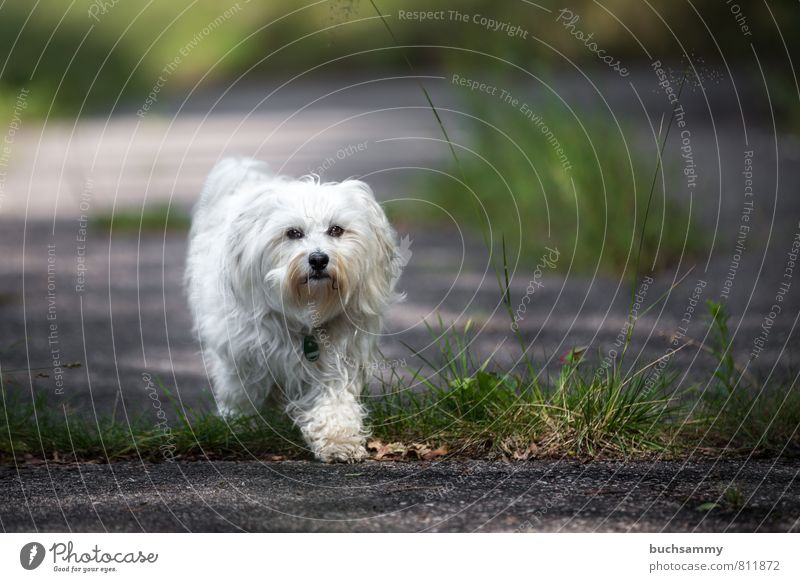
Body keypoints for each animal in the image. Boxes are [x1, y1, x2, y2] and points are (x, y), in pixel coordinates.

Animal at [187, 157, 400, 464]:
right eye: (293, 233)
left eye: (336, 230)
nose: (318, 259)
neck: (306, 313)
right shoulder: (243, 353)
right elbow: (242, 391)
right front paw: (240, 424)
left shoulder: (336, 359)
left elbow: (334, 401)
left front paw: (339, 440)